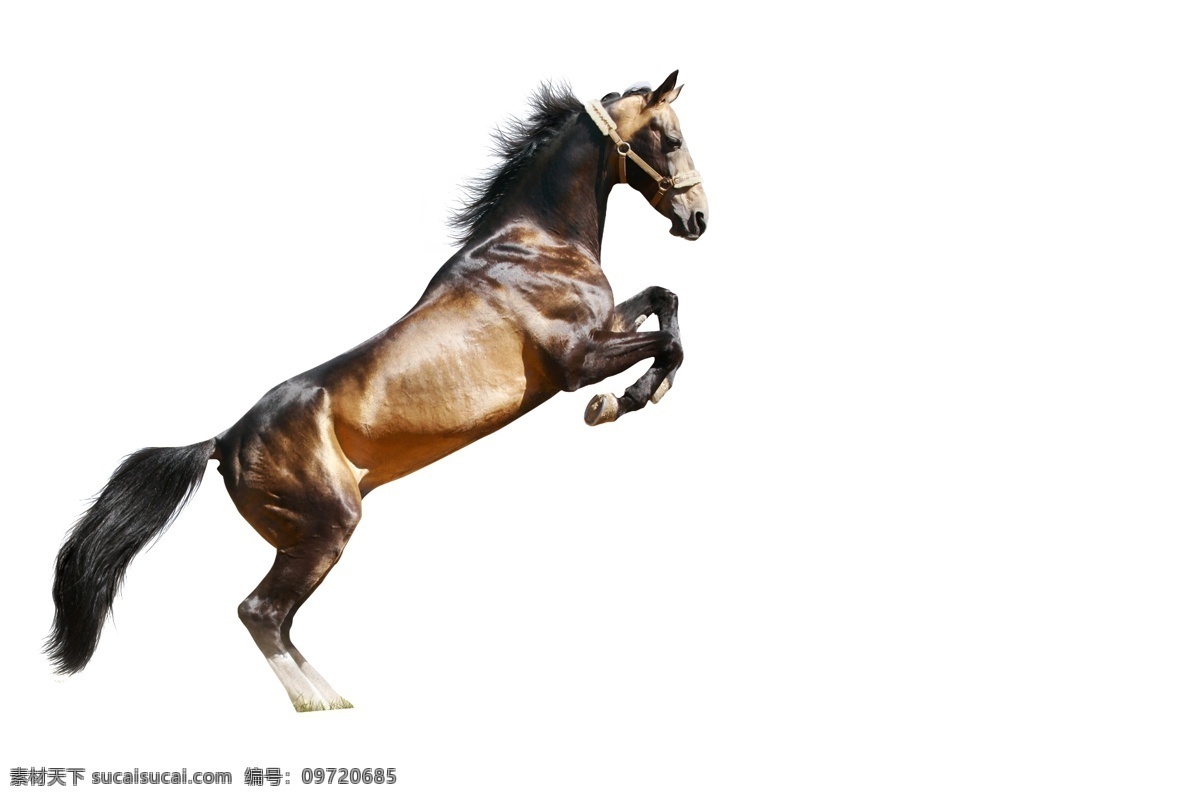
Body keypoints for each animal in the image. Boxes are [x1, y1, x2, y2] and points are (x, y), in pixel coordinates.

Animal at [47, 71, 707, 711]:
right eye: (672, 139)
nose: (698, 218)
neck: (536, 242)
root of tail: (223, 441)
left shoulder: (605, 327)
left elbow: (665, 300)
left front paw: (643, 390)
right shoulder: (577, 362)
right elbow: (667, 344)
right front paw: (622, 401)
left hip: (302, 540)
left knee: (279, 619)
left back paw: (335, 697)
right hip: (326, 529)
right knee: (259, 612)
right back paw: (314, 703)